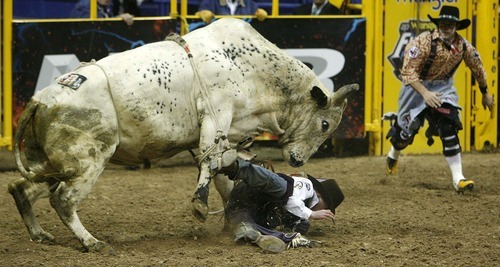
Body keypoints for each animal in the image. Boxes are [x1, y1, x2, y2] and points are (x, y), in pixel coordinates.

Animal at [8, 18, 360, 253]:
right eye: (325, 124)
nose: (298, 161)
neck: (253, 69)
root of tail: (41, 100)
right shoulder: (216, 117)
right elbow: (210, 163)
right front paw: (200, 206)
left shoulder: (230, 136)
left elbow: (225, 175)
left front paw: (230, 219)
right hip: (88, 160)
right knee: (64, 200)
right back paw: (92, 242)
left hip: (53, 163)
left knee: (21, 188)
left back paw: (40, 235)